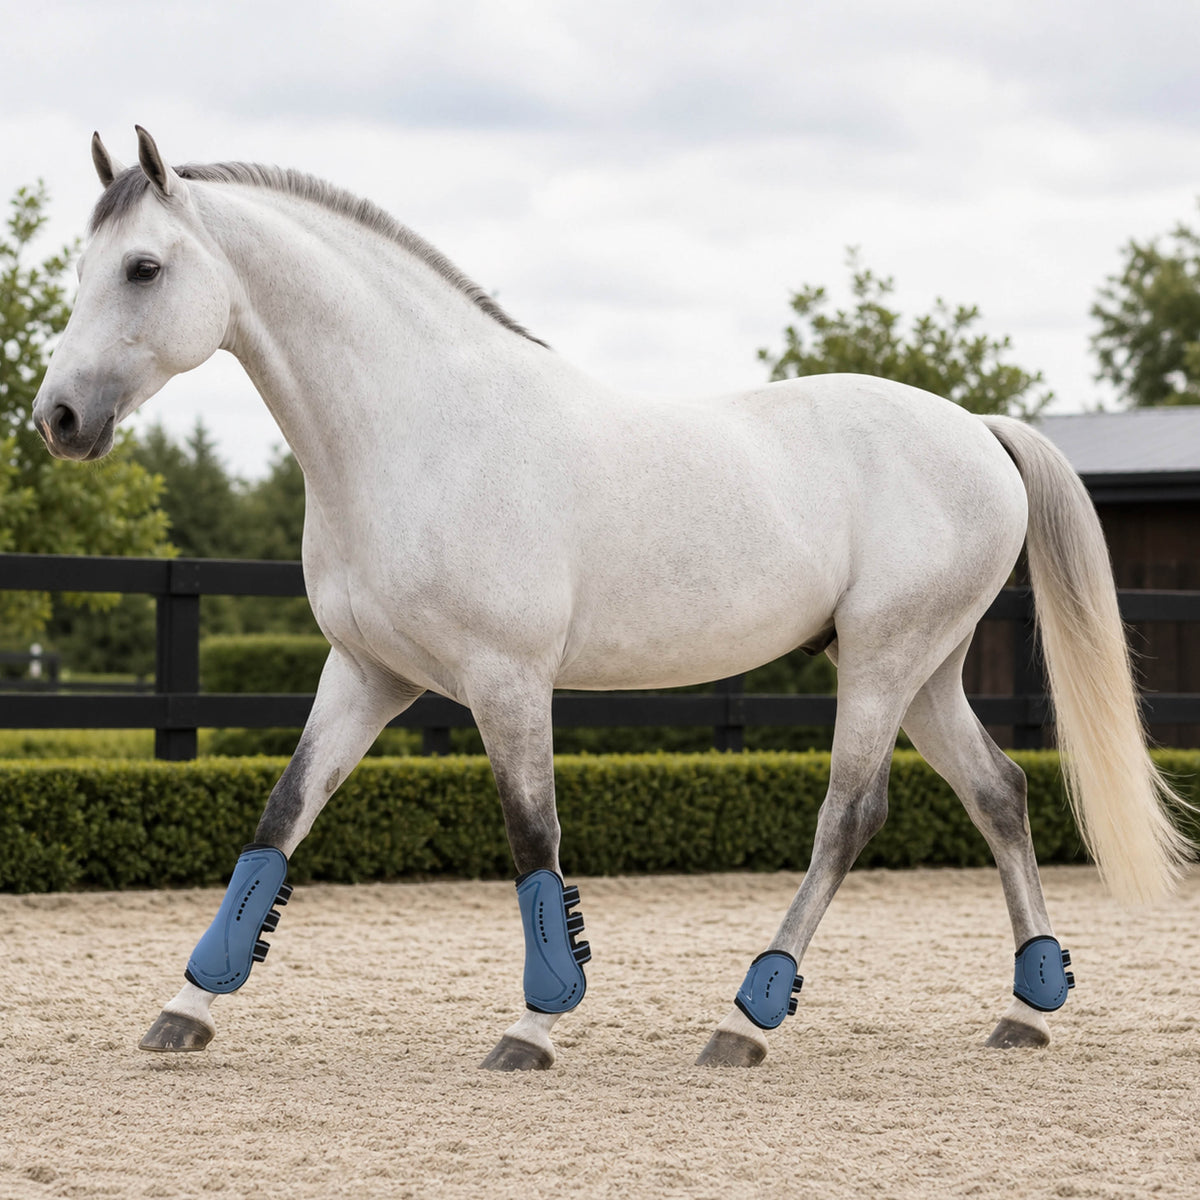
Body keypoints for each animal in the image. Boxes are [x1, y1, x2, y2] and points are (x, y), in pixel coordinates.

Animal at [33, 127, 1192, 1070]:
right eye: (84, 267)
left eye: (143, 267)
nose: (58, 419)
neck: (424, 432)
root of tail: (980, 433)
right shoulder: (367, 676)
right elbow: (279, 822)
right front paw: (189, 1004)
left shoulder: (506, 680)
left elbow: (532, 838)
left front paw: (536, 1025)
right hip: (924, 669)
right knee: (998, 791)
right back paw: (1028, 1007)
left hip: (883, 659)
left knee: (849, 815)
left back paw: (747, 1020)